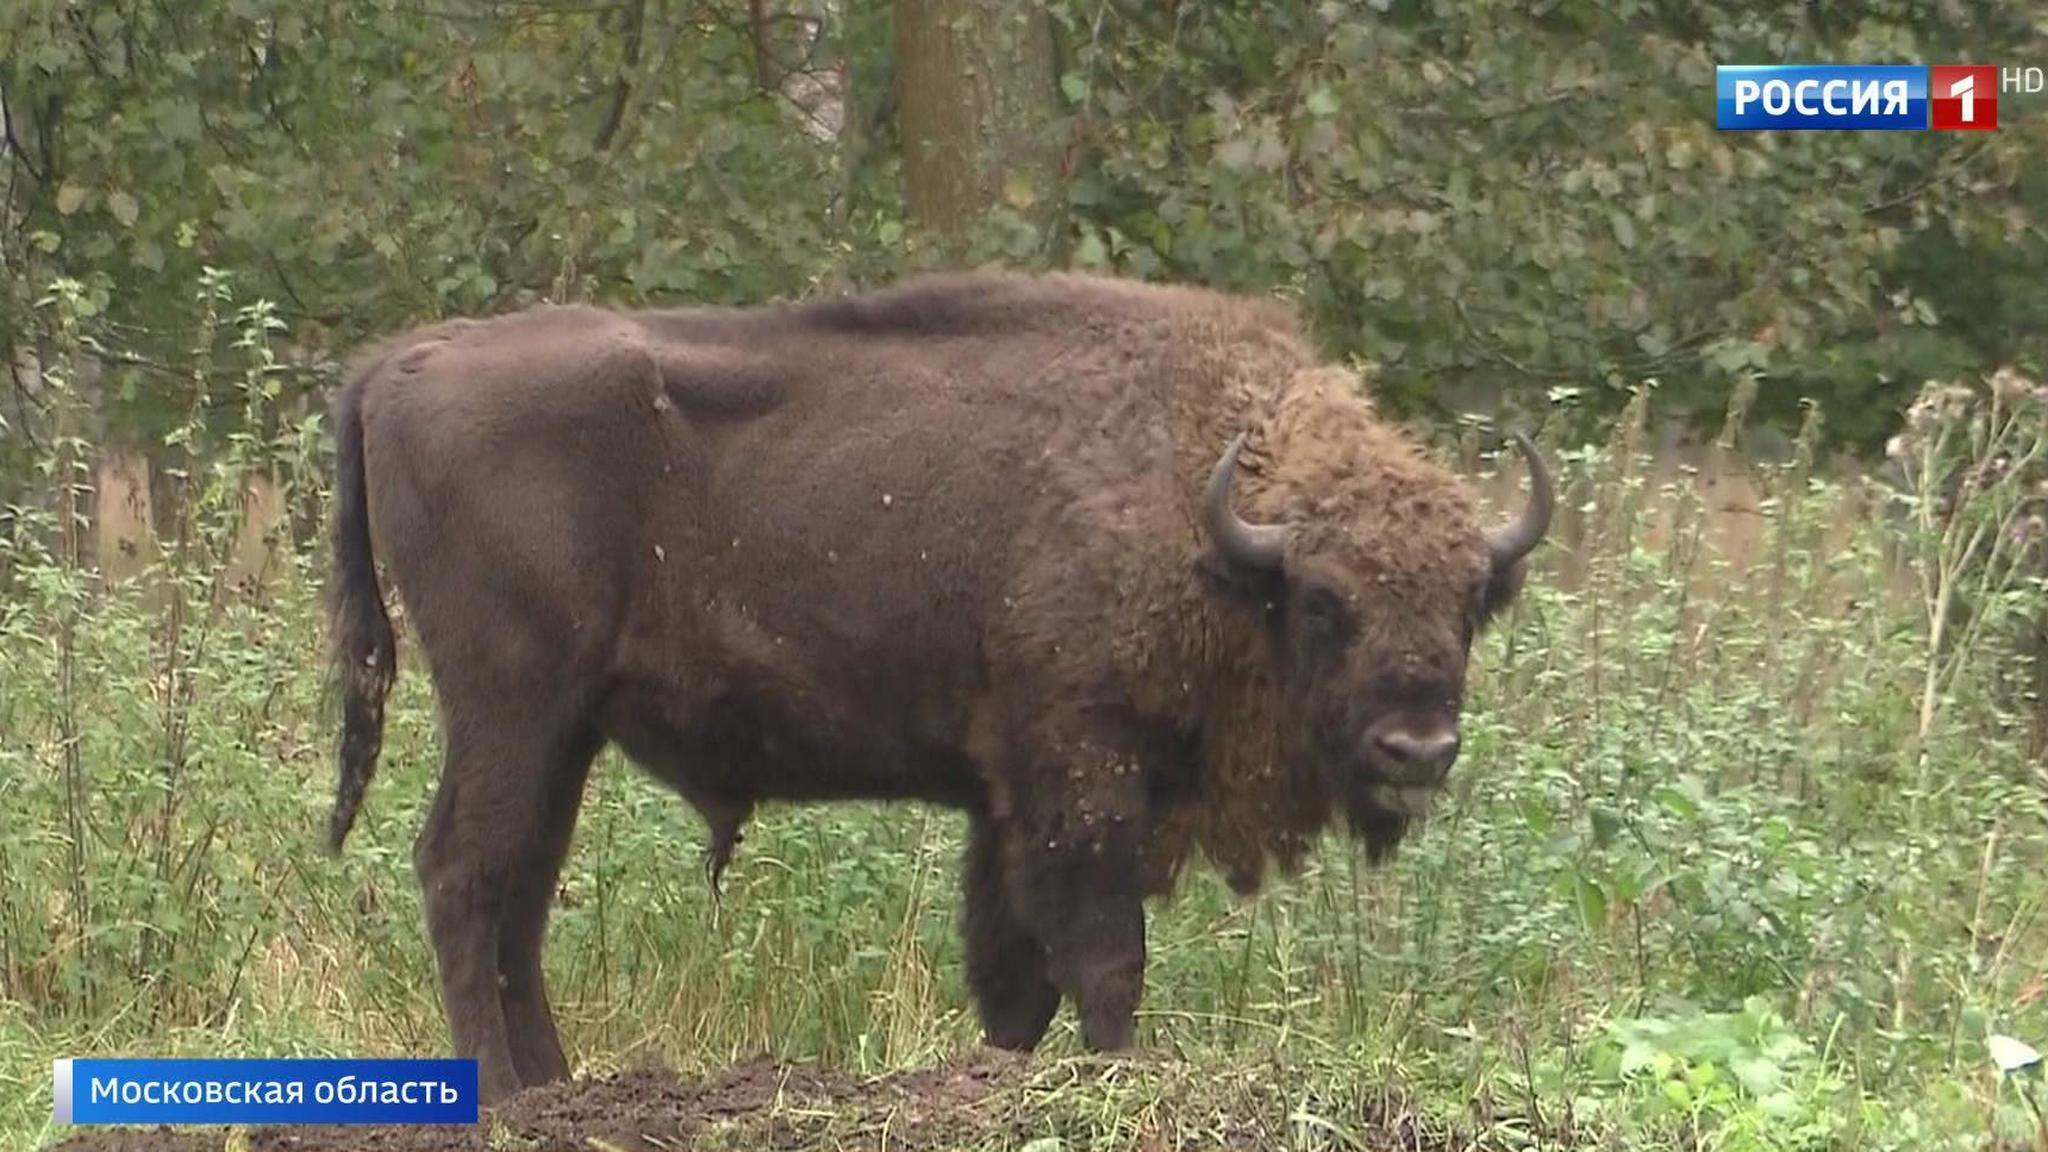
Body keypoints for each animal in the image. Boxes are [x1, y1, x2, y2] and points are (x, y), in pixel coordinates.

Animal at [325, 270, 1551, 1104]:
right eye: (1324, 604)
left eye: (1469, 601)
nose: (1416, 749)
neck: (1207, 523)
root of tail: (402, 363)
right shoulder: (1077, 774)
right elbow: (1102, 959)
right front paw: (1116, 1075)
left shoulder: (1004, 799)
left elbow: (1016, 975)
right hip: (509, 708)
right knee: (462, 873)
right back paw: (501, 1095)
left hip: (563, 736)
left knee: (519, 897)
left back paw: (556, 1089)